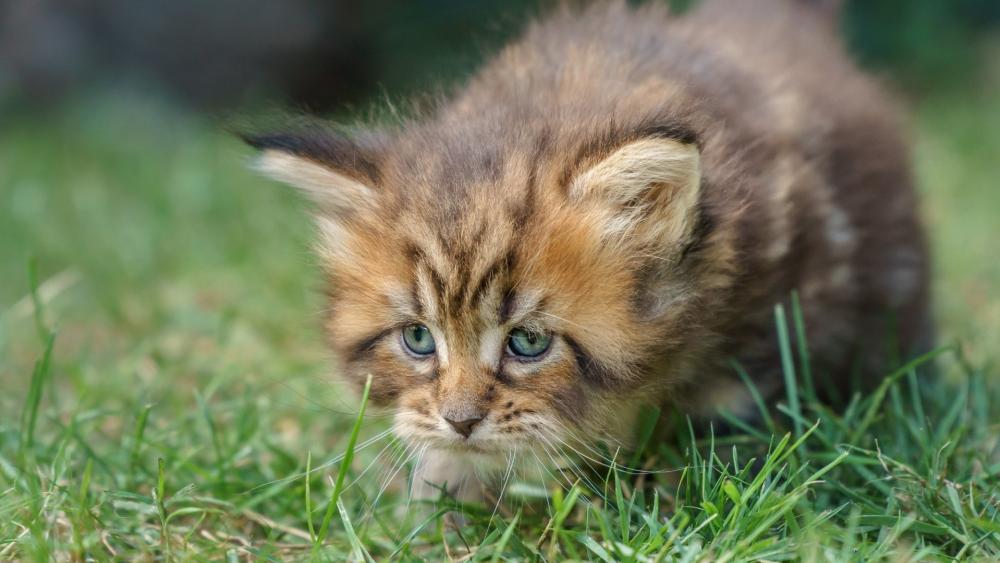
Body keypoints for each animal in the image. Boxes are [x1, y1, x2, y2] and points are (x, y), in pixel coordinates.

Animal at [242, 0, 928, 502]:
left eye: (528, 342)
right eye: (417, 338)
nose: (461, 420)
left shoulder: (772, 310)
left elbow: (723, 421)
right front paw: (445, 494)